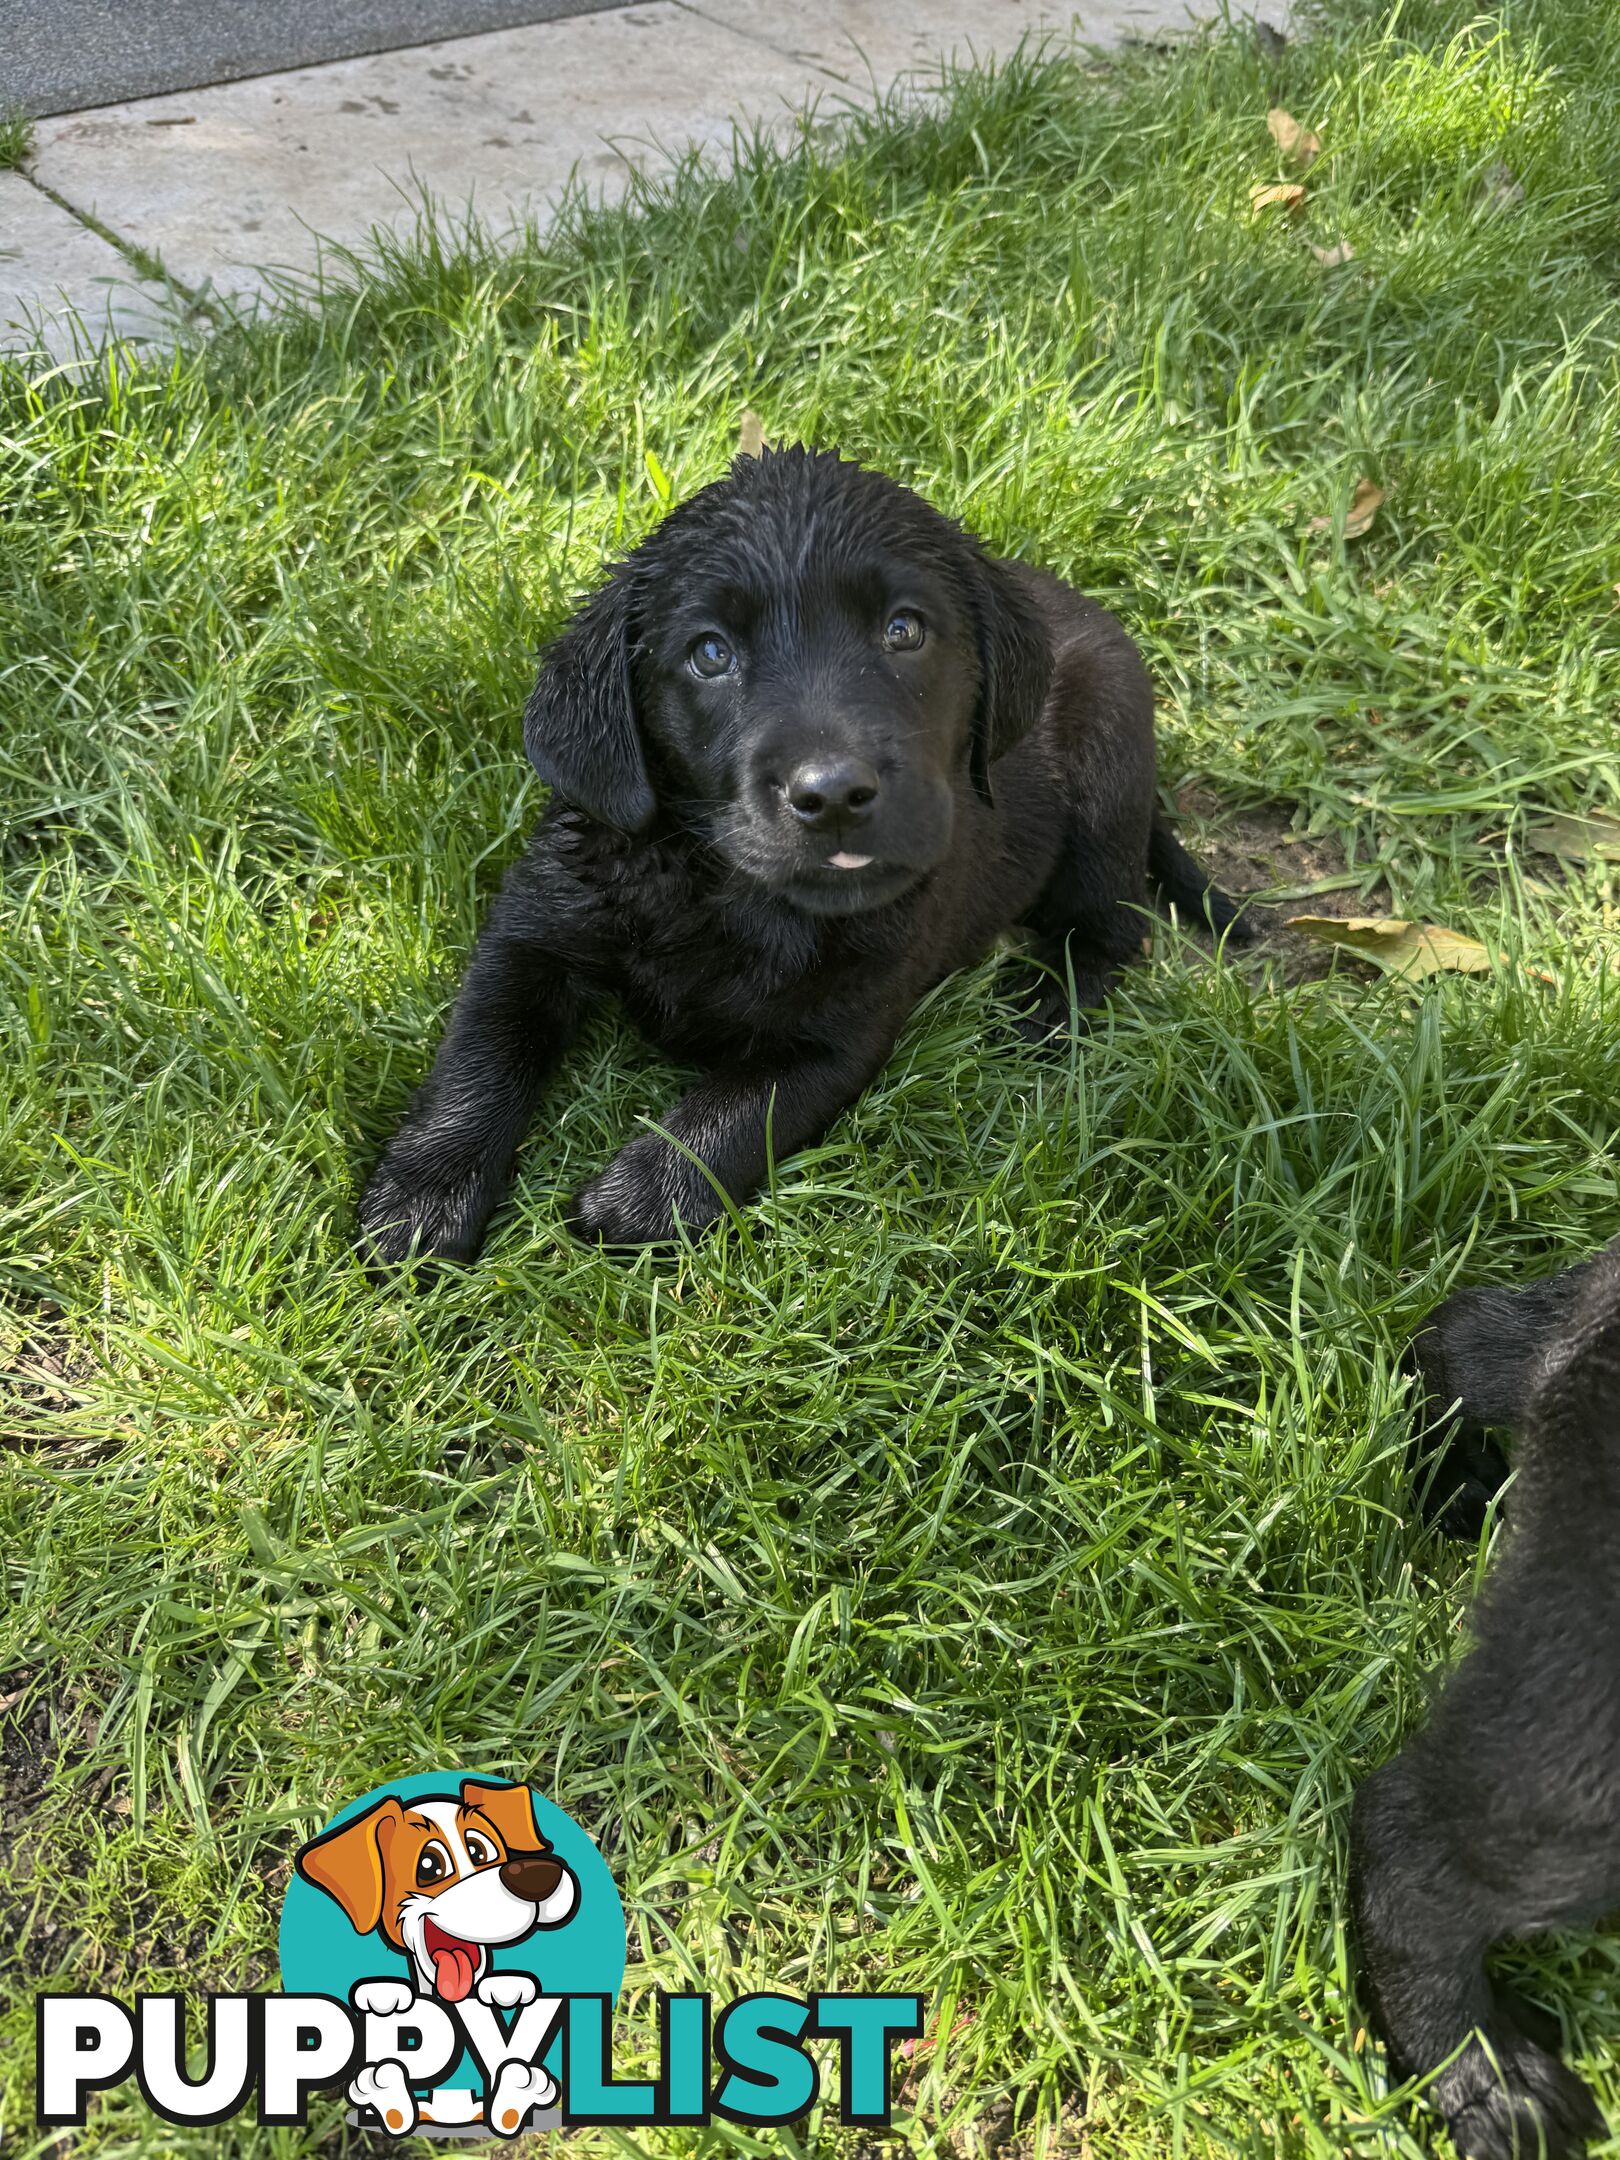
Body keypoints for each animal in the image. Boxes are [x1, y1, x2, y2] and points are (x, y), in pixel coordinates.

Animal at [360, 447, 1252, 1261]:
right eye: (710, 653)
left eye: (904, 630)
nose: (833, 795)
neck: (725, 894)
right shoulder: (534, 927)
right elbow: (479, 1055)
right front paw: (422, 1198)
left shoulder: (843, 1034)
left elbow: (739, 1112)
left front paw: (644, 1195)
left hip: (1103, 779)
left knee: (1116, 930)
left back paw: (1047, 1005)